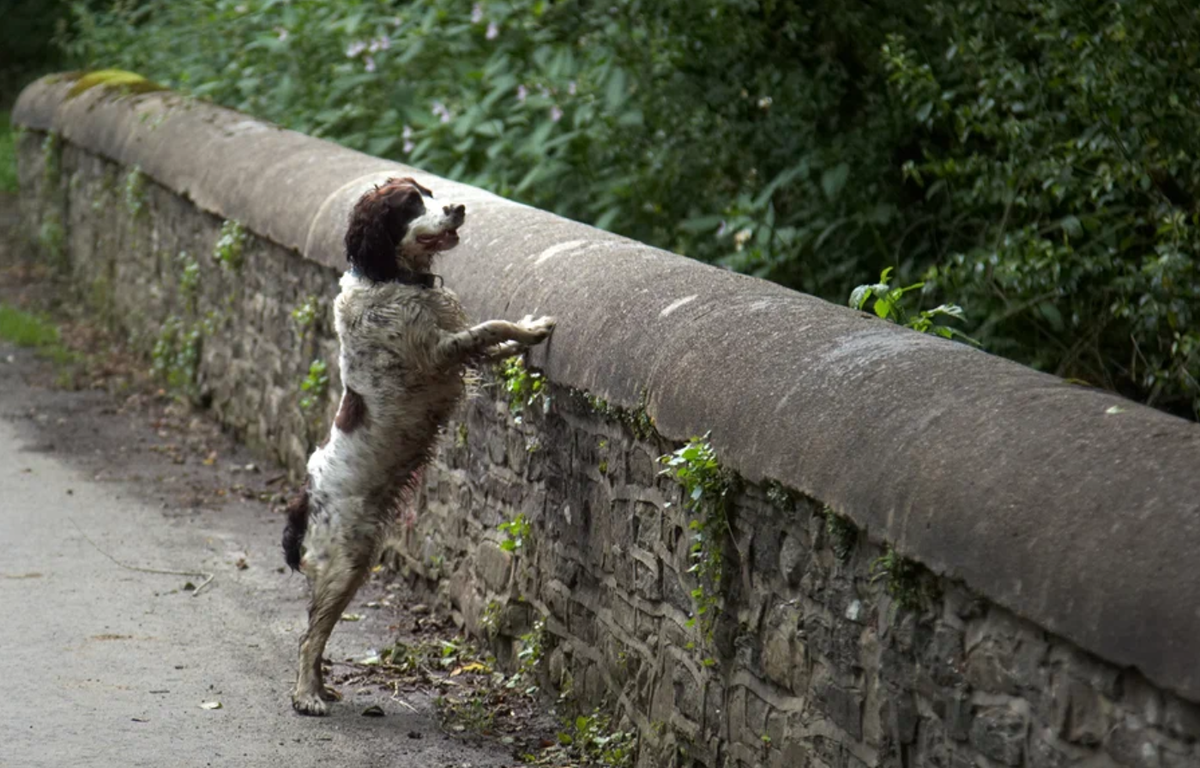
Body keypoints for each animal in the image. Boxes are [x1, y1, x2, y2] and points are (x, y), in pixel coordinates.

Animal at [282, 177, 556, 715]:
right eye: (409, 203)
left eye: (428, 192)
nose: (459, 206)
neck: (392, 278)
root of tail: (305, 504)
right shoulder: (437, 351)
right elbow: (489, 328)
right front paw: (531, 329)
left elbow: (493, 342)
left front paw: (525, 337)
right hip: (342, 564)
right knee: (307, 639)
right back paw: (307, 696)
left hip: (358, 561)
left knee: (317, 635)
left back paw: (322, 687)